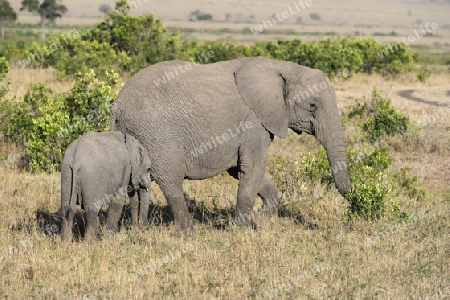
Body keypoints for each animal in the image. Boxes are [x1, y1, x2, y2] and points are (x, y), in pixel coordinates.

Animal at [110, 55, 354, 234]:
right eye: (312, 105)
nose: (351, 195)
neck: (282, 67)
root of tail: (117, 105)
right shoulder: (253, 121)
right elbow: (252, 169)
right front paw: (241, 230)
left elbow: (246, 171)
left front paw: (260, 222)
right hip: (158, 135)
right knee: (171, 181)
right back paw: (189, 234)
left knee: (135, 186)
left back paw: (136, 230)